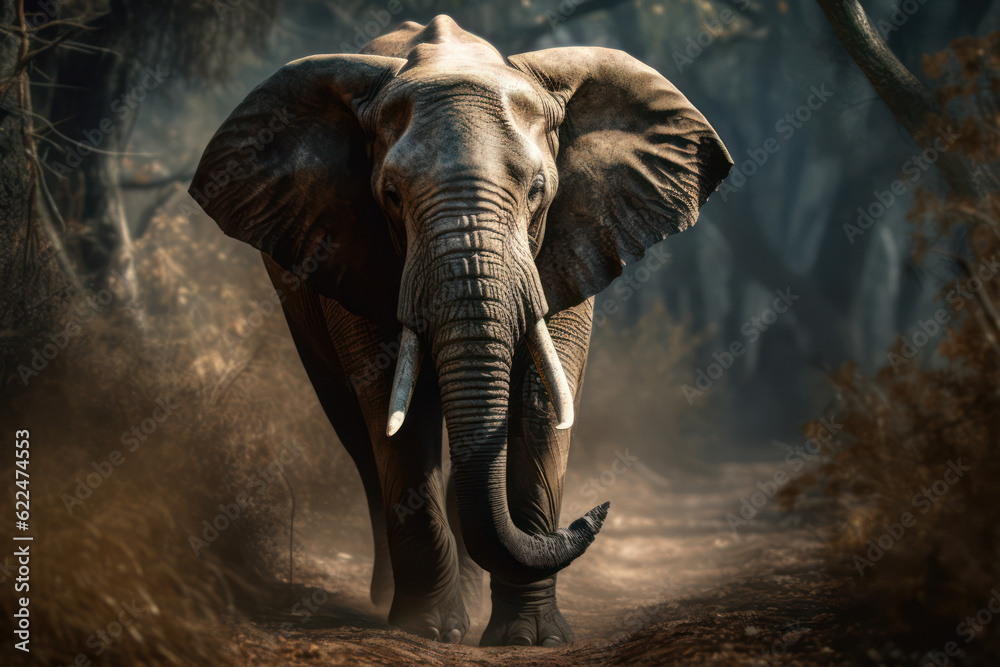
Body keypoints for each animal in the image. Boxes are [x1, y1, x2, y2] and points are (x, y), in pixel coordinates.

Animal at [190, 15, 732, 647]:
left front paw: (530, 640)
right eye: (391, 196)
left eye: (538, 190)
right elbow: (394, 410)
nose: (596, 511)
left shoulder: (572, 237)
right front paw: (427, 629)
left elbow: (542, 404)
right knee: (356, 431)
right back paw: (392, 599)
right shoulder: (350, 245)